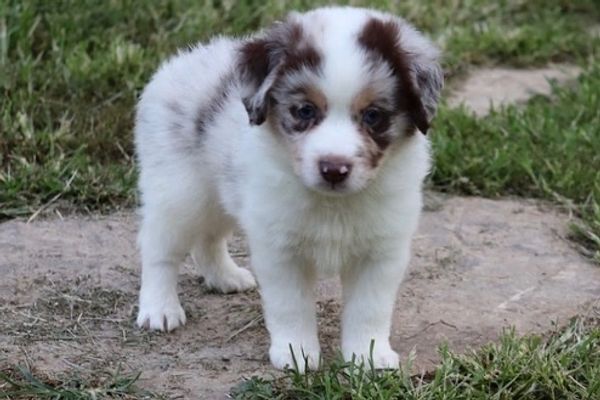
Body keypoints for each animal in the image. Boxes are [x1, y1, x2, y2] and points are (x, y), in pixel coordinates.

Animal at [135, 5, 440, 368]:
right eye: (305, 110)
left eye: (373, 116)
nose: (334, 169)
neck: (333, 204)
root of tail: (181, 61)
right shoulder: (280, 250)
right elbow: (291, 306)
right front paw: (297, 354)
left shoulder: (381, 252)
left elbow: (370, 308)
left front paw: (369, 357)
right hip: (180, 193)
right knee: (158, 247)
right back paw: (159, 309)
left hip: (220, 196)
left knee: (207, 239)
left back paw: (225, 277)